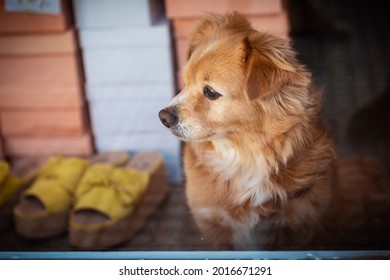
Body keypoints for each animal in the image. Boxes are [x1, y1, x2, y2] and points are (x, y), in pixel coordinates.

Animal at [158, 13, 336, 249]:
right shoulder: (213, 226)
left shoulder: (297, 226)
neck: (245, 158)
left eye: (210, 92)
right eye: (185, 83)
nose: (163, 117)